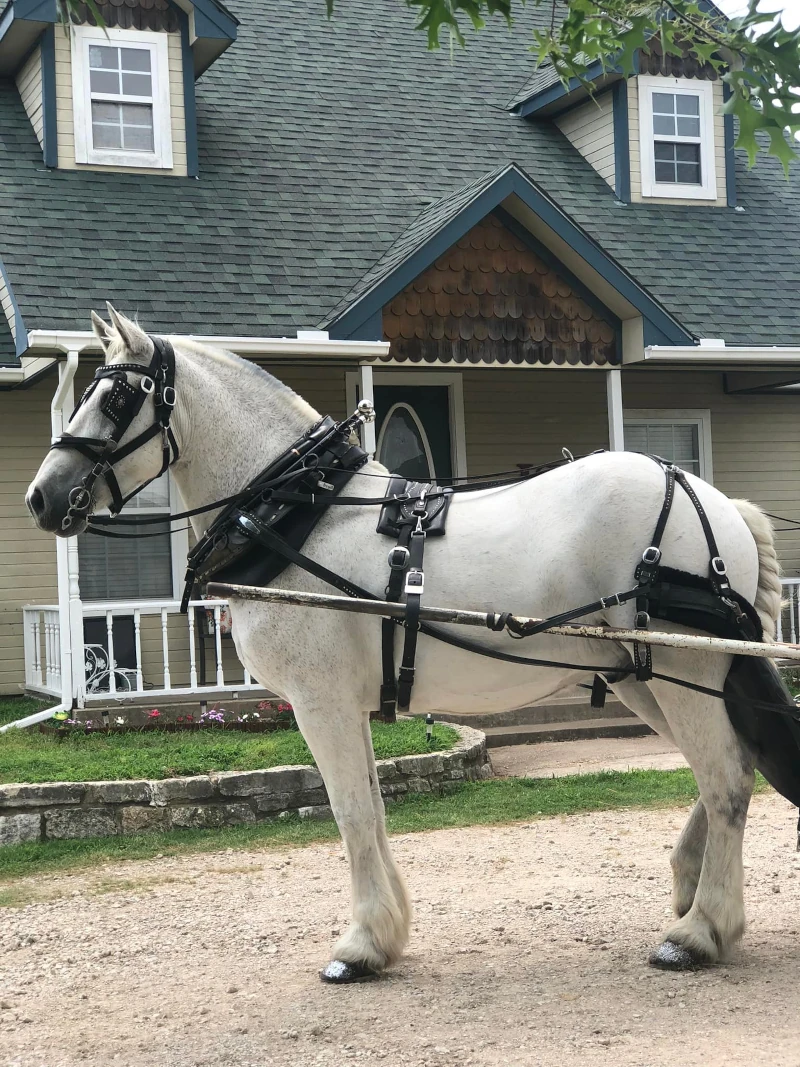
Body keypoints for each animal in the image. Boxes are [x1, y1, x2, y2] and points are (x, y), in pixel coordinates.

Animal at [26, 309, 797, 981]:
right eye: (83, 391)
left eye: (117, 396)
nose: (42, 496)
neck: (300, 513)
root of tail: (715, 499)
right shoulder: (349, 704)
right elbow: (368, 803)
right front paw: (385, 932)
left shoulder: (321, 701)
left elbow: (349, 811)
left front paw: (362, 945)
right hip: (646, 674)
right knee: (733, 764)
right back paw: (691, 890)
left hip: (680, 668)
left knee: (726, 775)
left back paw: (701, 930)